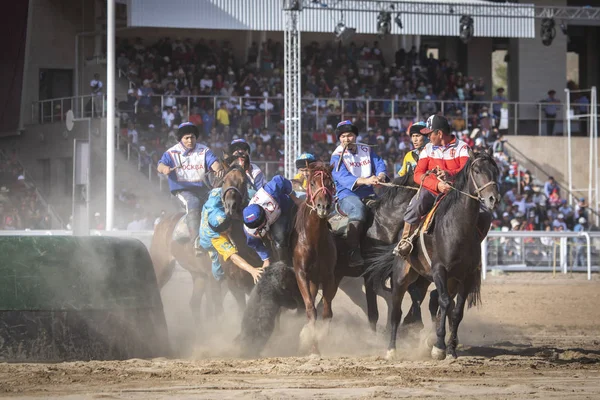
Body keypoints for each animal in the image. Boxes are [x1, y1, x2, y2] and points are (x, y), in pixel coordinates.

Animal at [292, 162, 340, 354]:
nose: (323, 206)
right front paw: (313, 347)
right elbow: (311, 309)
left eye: (330, 182)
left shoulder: (329, 276)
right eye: (312, 182)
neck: (315, 241)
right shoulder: (301, 274)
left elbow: (327, 311)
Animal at [366, 148, 502, 360]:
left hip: (428, 279)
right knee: (396, 310)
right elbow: (444, 302)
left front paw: (451, 348)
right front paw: (439, 347)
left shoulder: (465, 277)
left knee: (429, 300)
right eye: (477, 170)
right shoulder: (439, 270)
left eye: (495, 171)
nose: (492, 199)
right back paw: (391, 349)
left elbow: (456, 311)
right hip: (402, 276)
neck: (457, 228)